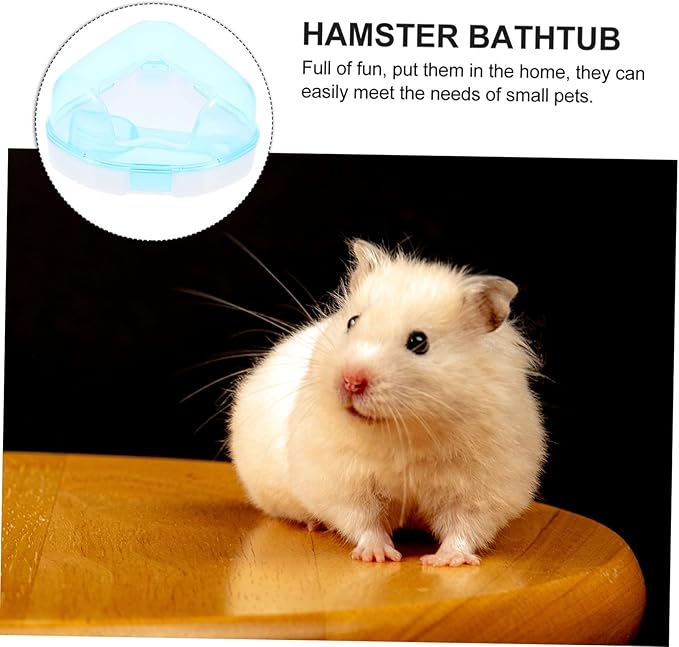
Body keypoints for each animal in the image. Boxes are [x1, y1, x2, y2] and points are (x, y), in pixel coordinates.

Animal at [228, 240, 546, 567]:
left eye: (418, 342)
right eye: (352, 322)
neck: (403, 430)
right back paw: (314, 523)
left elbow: (465, 527)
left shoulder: (482, 489)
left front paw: (444, 560)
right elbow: (364, 521)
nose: (350, 381)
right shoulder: (344, 481)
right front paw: (377, 556)